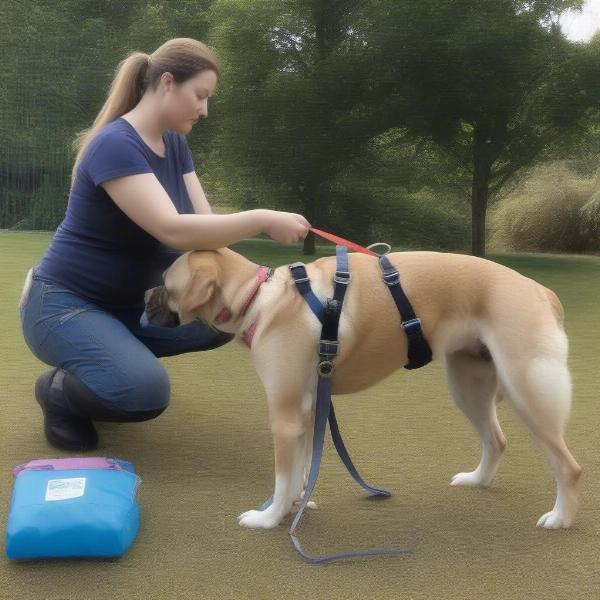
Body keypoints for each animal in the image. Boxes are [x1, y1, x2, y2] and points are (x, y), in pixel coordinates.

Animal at [145, 247, 580, 528]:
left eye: (165, 284)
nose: (145, 293)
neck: (258, 298)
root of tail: (541, 291)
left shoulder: (284, 417)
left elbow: (283, 476)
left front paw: (269, 518)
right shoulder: (307, 411)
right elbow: (302, 467)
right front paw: (295, 506)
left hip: (528, 393)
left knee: (568, 467)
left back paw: (560, 517)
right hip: (468, 386)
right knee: (496, 440)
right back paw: (477, 481)